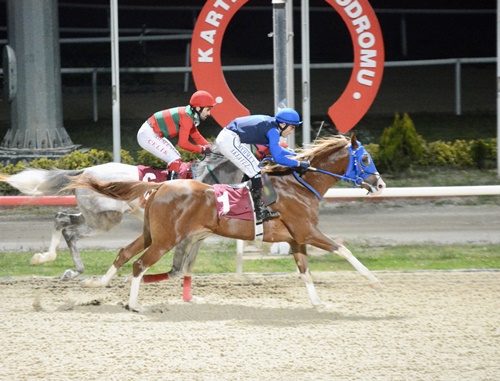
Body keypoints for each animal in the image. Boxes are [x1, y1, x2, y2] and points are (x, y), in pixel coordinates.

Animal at [68, 135, 384, 310]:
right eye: (365, 159)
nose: (380, 184)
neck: (299, 185)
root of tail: (160, 186)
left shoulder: (296, 239)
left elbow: (305, 272)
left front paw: (318, 302)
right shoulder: (308, 232)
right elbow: (344, 250)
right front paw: (373, 281)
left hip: (152, 234)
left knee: (124, 253)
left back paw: (97, 283)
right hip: (165, 239)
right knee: (139, 264)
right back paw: (133, 305)